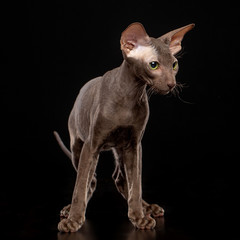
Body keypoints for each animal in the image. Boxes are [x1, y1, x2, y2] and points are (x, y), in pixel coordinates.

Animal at [53, 22, 194, 232]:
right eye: (154, 64)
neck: (130, 95)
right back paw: (70, 209)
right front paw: (73, 220)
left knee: (120, 178)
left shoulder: (134, 145)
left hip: (121, 148)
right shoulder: (91, 145)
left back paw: (147, 207)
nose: (172, 84)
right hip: (78, 145)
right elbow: (80, 185)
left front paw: (139, 216)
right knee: (91, 180)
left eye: (174, 65)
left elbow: (135, 184)